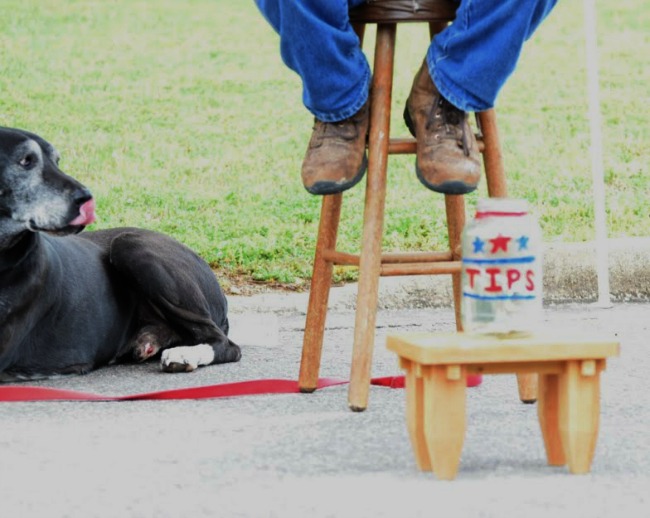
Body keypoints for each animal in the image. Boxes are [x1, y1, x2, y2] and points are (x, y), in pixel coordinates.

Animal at [0, 127, 240, 382]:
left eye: (56, 160)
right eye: (26, 160)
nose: (86, 198)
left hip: (130, 245)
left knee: (224, 343)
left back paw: (185, 355)